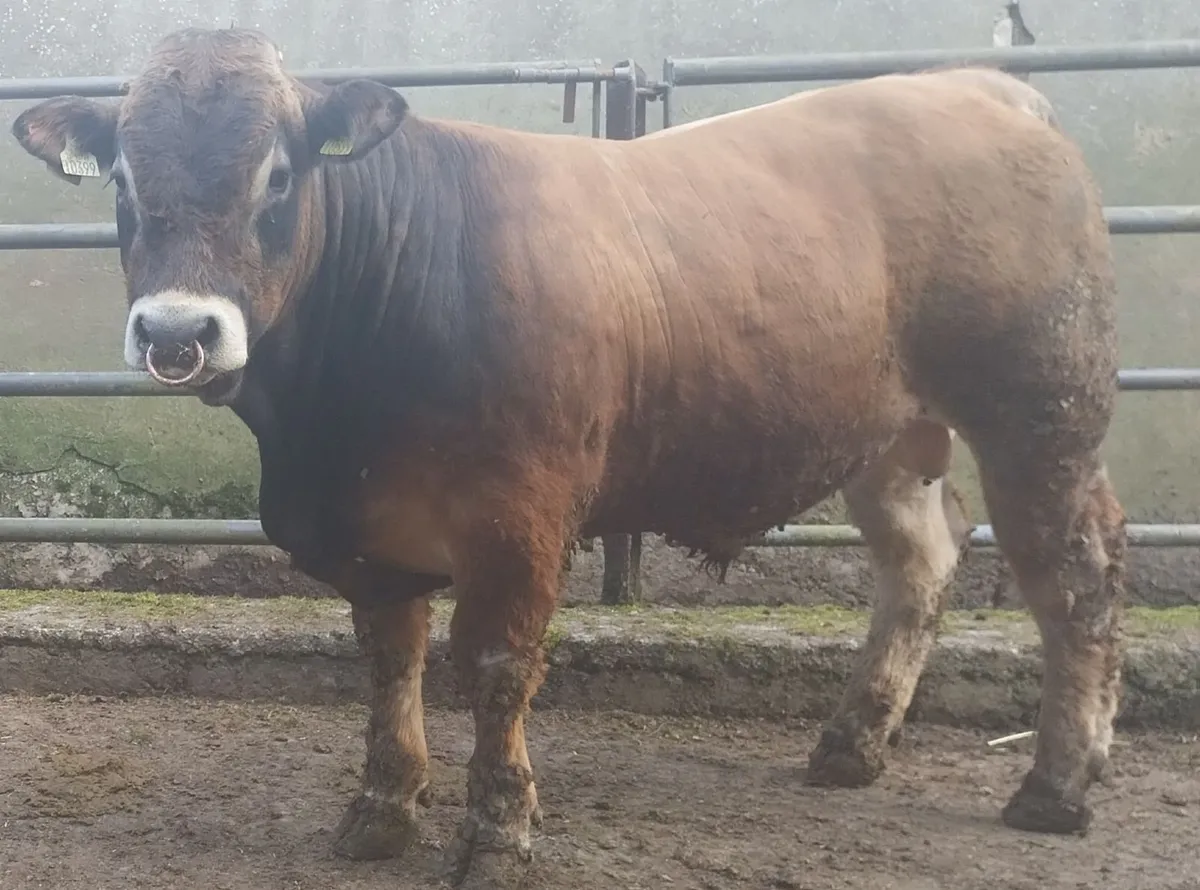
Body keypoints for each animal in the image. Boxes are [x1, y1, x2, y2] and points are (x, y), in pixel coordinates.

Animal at [11, 27, 1126, 886]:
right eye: (122, 181)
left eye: (278, 174)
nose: (177, 331)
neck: (326, 425)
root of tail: (982, 85)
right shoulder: (373, 533)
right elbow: (390, 659)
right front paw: (383, 807)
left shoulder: (520, 515)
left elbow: (498, 665)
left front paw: (498, 830)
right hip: (890, 436)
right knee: (920, 562)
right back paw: (852, 745)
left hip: (1043, 413)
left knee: (1075, 576)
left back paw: (1056, 784)